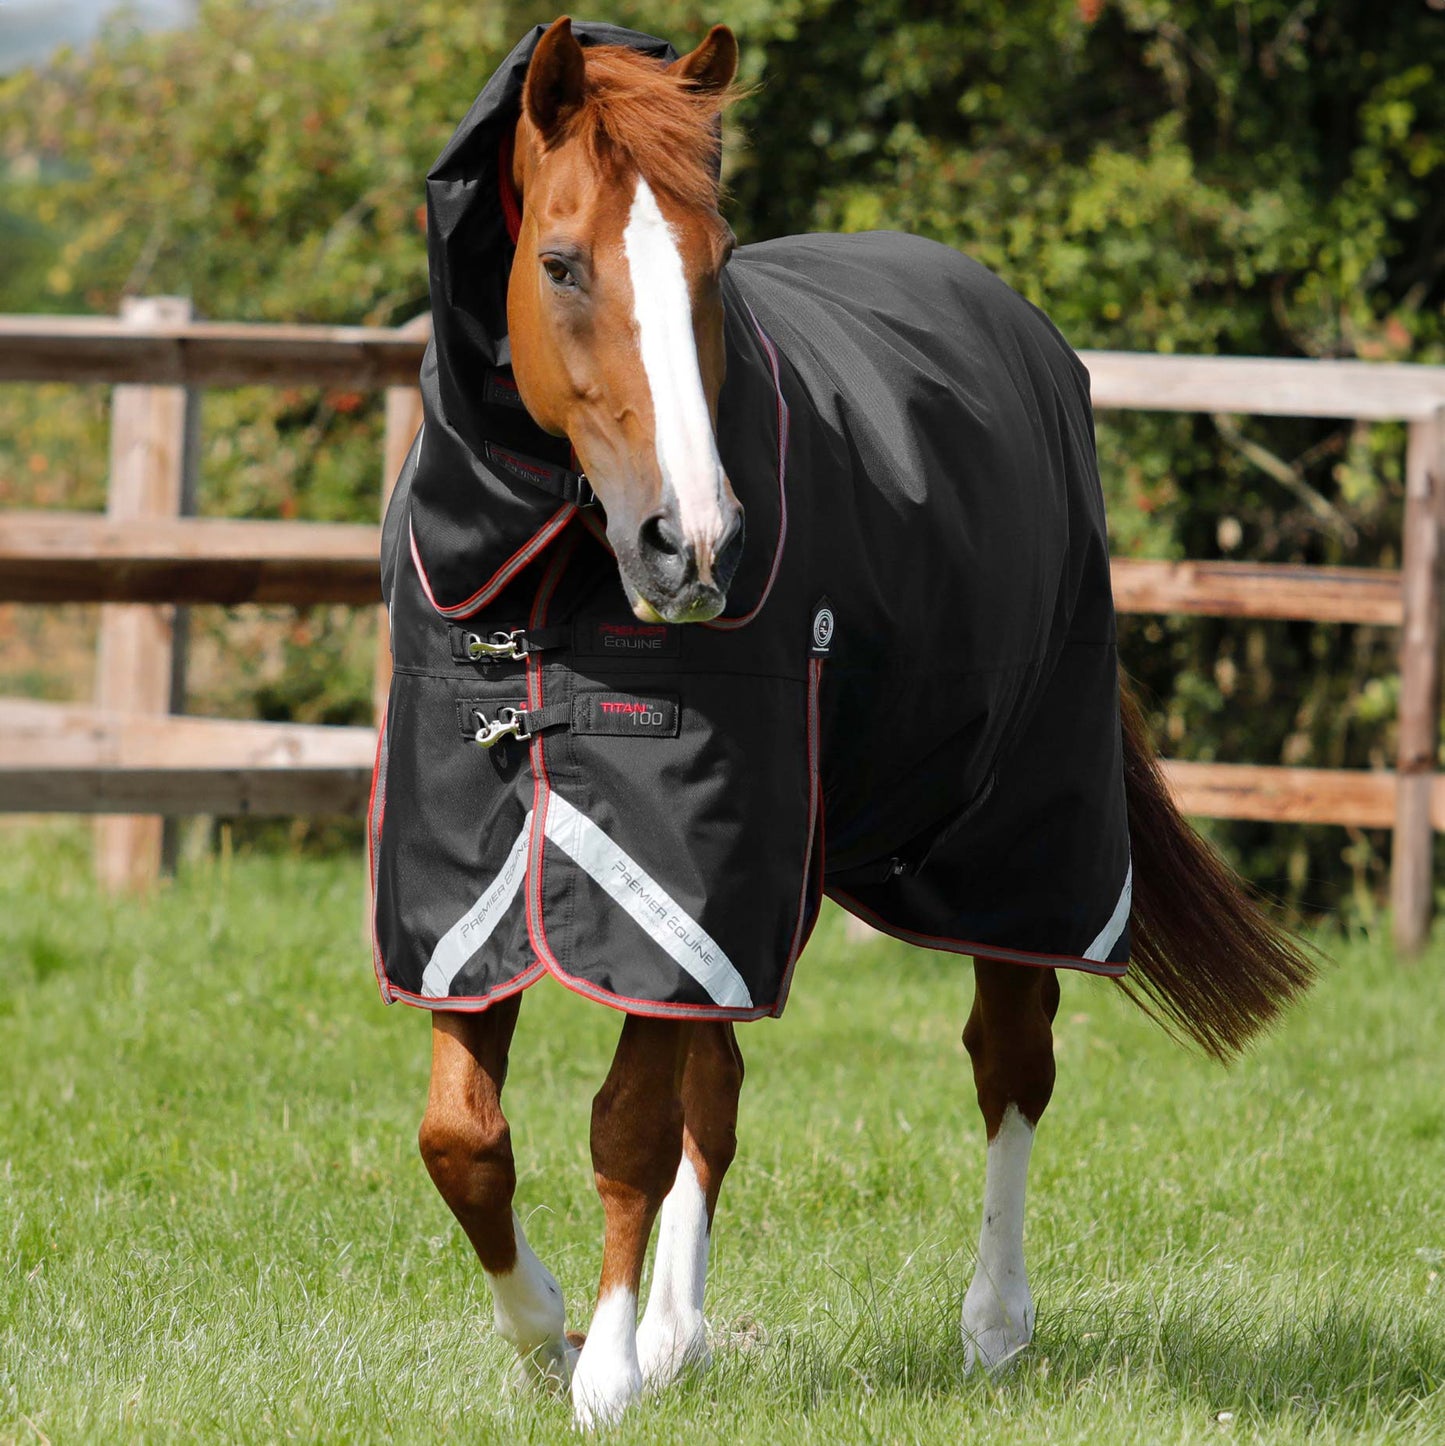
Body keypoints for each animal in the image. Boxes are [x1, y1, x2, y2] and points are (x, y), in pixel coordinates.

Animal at [370, 16, 1316, 1428]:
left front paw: (598, 1372)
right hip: (781, 868)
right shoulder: (474, 884)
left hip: (1009, 839)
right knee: (721, 1086)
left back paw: (992, 1327)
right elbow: (464, 1139)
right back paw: (682, 1333)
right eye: (558, 262)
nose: (692, 540)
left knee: (1007, 1061)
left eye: (712, 267)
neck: (541, 582)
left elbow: (625, 1126)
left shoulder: (679, 872)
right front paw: (548, 1337)